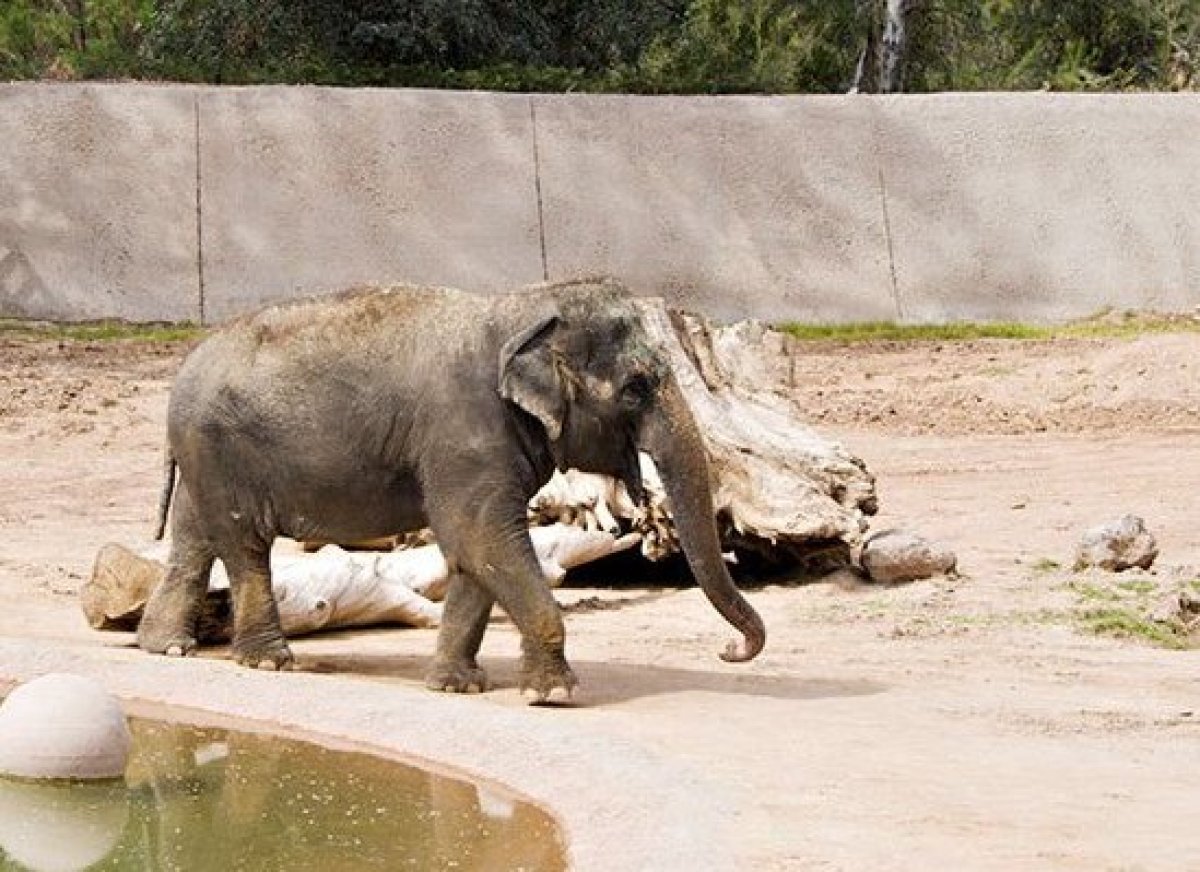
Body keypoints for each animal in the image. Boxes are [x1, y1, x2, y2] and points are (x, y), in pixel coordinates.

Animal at [138, 279, 758, 700]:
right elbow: (485, 539)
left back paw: (165, 647)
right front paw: (553, 694)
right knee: (244, 546)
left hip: (205, 456)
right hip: (221, 451)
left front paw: (456, 686)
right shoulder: (466, 438)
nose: (730, 650)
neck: (519, 309)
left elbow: (473, 552)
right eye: (635, 388)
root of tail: (183, 370)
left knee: (195, 540)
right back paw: (269, 663)